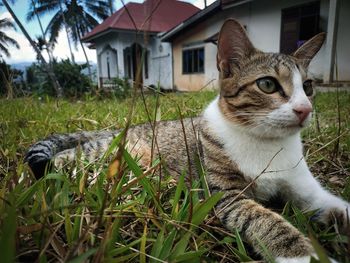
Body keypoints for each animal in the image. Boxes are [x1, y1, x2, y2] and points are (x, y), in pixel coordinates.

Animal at [26, 19, 348, 263]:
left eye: (308, 86)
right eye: (267, 84)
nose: (305, 109)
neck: (268, 142)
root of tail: (109, 131)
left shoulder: (303, 186)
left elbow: (330, 205)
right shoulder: (226, 195)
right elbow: (266, 222)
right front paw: (304, 254)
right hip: (120, 155)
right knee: (64, 160)